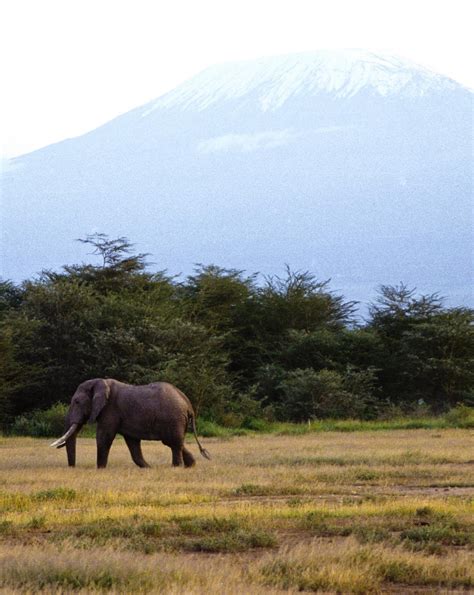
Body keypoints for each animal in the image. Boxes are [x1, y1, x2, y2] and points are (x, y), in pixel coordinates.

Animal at [49, 378, 209, 470]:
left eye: (77, 402)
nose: (72, 468)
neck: (101, 383)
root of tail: (188, 404)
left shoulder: (110, 410)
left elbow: (104, 437)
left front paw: (100, 469)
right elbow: (132, 443)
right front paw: (148, 468)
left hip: (173, 419)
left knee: (173, 443)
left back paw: (176, 467)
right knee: (175, 442)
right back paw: (190, 465)